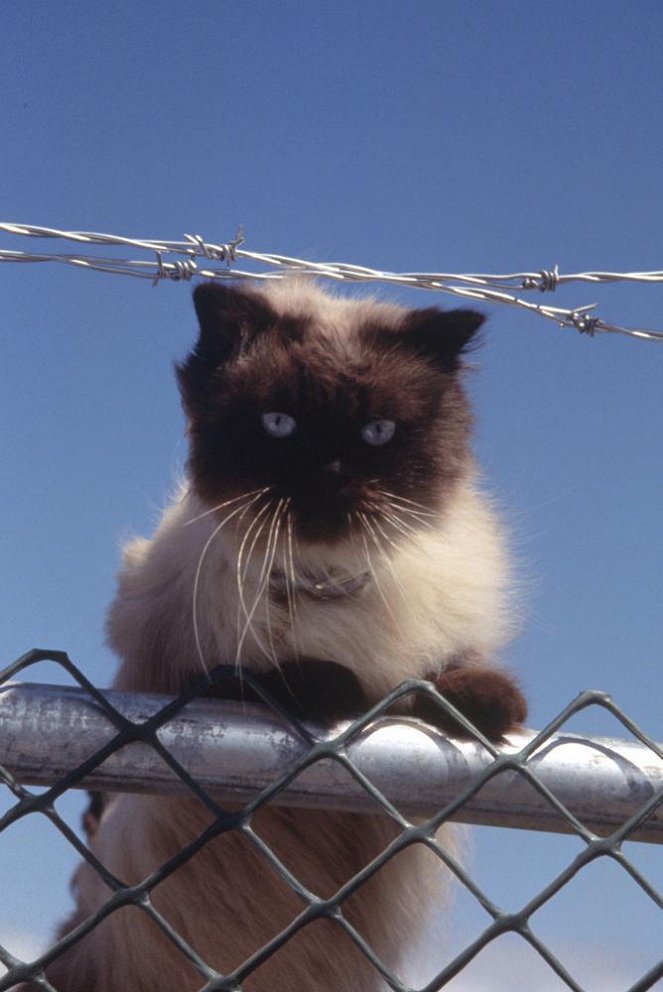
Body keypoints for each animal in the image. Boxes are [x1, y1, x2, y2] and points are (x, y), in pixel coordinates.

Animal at [28, 280, 528, 992]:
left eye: (378, 433)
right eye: (279, 424)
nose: (328, 474)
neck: (324, 579)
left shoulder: (424, 663)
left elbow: (440, 680)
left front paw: (486, 705)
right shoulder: (197, 682)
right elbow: (284, 678)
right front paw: (333, 686)